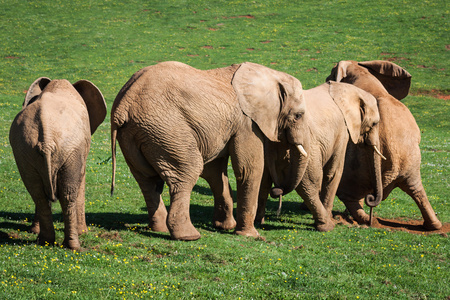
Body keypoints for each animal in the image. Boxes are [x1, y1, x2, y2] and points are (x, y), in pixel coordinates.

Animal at [9, 77, 107, 248]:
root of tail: (46, 137)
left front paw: (34, 231)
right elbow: (81, 179)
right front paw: (84, 233)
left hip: (24, 149)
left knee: (37, 193)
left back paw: (44, 241)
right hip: (70, 149)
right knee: (68, 194)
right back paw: (75, 246)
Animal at [110, 61, 308, 241]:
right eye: (298, 115)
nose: (277, 191)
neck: (269, 75)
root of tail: (123, 105)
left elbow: (215, 172)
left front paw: (225, 227)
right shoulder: (247, 122)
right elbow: (248, 169)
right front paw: (250, 236)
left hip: (136, 135)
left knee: (147, 180)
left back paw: (160, 229)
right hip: (166, 130)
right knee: (187, 172)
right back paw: (189, 236)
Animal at [256, 81, 384, 231]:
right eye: (374, 124)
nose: (370, 198)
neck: (348, 90)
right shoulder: (343, 131)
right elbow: (334, 172)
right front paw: (329, 218)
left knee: (263, 180)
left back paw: (258, 223)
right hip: (309, 147)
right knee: (308, 182)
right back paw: (326, 226)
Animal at [326, 60, 444, 230]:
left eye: (330, 73)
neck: (361, 71)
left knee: (348, 191)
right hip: (409, 162)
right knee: (415, 188)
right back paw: (434, 226)